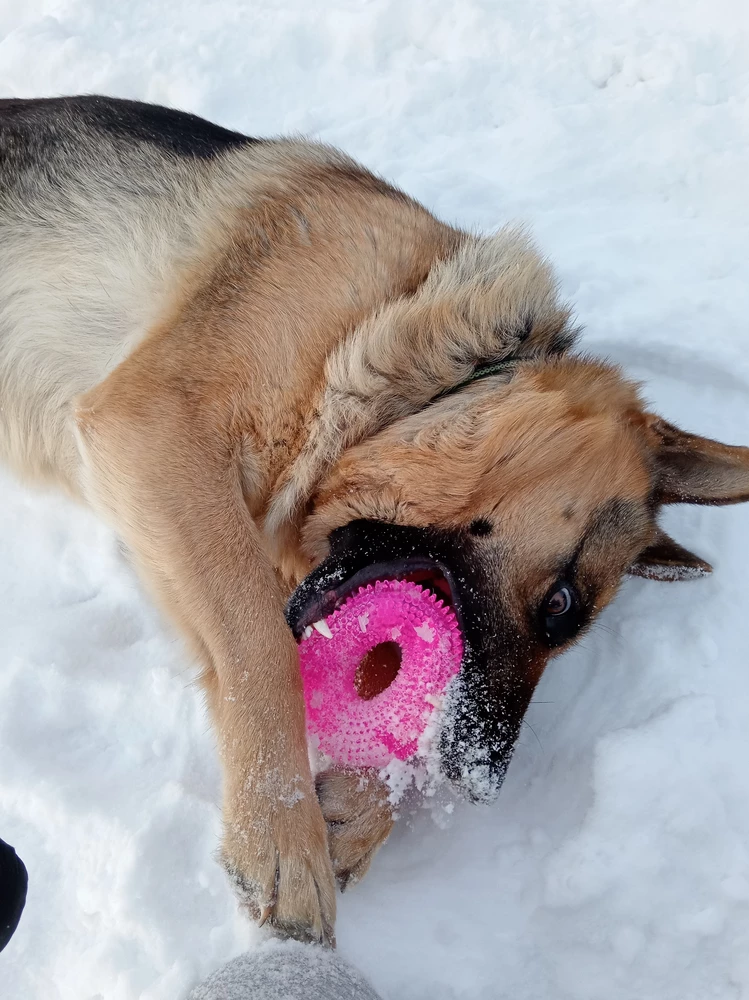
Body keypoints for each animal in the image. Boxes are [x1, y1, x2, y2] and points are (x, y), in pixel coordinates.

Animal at [1, 97, 748, 948]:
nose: (483, 781)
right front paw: (282, 835)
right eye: (560, 604)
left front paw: (361, 810)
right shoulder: (152, 432)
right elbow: (261, 647)